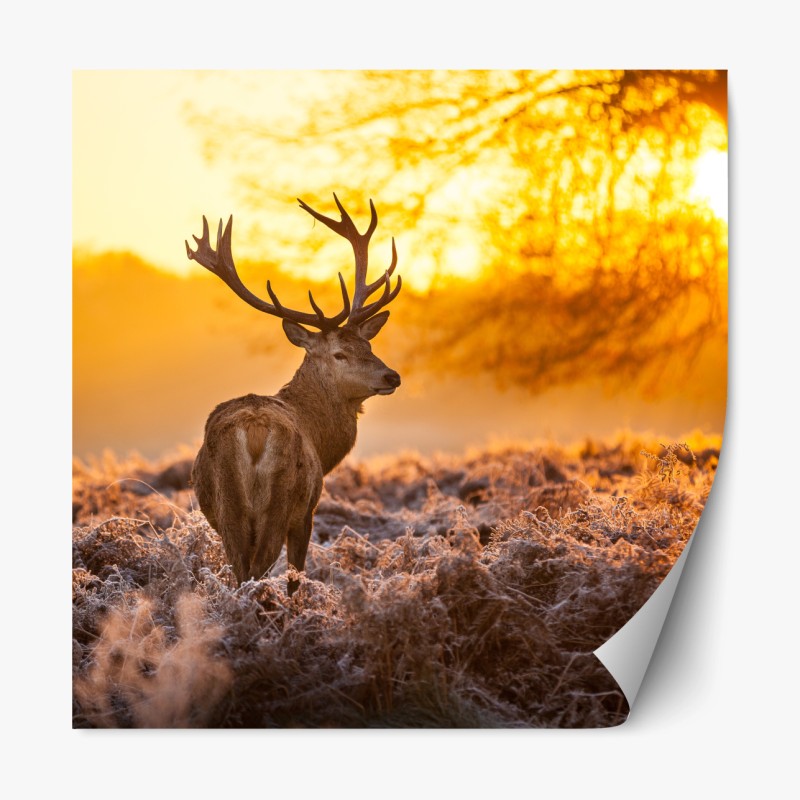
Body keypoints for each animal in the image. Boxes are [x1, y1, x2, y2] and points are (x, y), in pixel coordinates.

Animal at [185, 195, 402, 595]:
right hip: (280, 502)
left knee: (241, 572)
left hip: (227, 508)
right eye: (340, 353)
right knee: (258, 571)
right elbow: (295, 577)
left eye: (368, 345)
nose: (391, 375)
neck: (321, 439)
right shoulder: (307, 512)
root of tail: (254, 431)